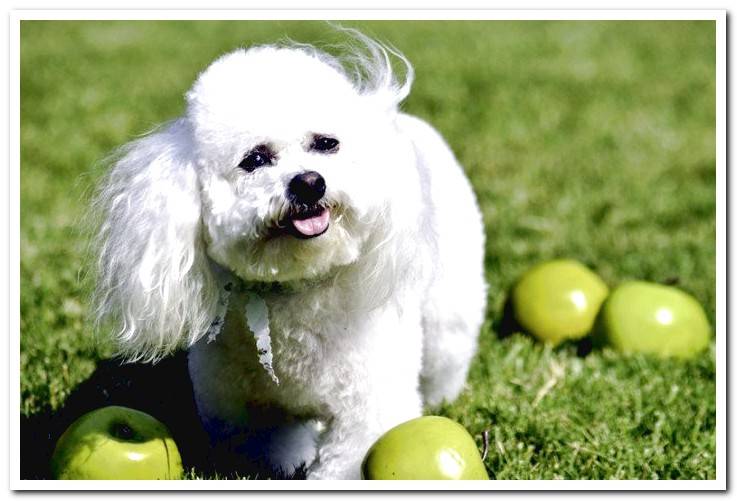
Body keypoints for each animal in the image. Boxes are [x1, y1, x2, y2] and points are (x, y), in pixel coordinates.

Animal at [89, 33, 486, 478]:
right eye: (255, 159)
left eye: (326, 143)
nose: (309, 183)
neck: (295, 289)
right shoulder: (245, 415)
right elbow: (265, 449)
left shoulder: (367, 411)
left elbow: (344, 462)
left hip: (448, 312)